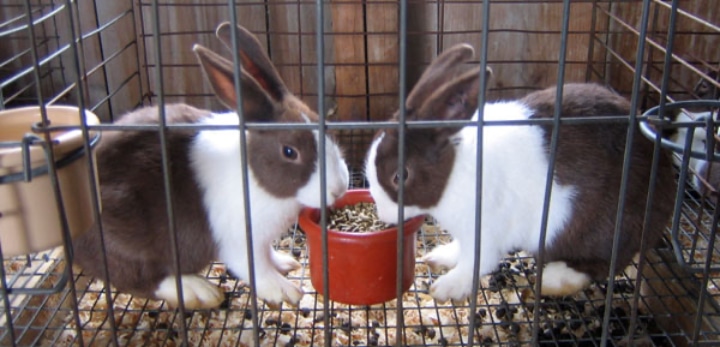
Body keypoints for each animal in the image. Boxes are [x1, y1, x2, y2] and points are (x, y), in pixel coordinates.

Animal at [74, 22, 352, 310]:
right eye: (289, 151)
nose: (339, 188)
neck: (252, 174)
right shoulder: (240, 243)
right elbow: (257, 269)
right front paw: (286, 291)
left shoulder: (262, 240)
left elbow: (268, 255)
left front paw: (286, 262)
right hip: (124, 238)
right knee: (137, 279)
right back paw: (197, 291)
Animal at [366, 44, 676, 304]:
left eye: (400, 176)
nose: (383, 215)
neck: (455, 170)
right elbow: (460, 251)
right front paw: (440, 257)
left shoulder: (485, 232)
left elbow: (475, 262)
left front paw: (446, 288)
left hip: (605, 229)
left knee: (602, 264)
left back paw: (553, 280)